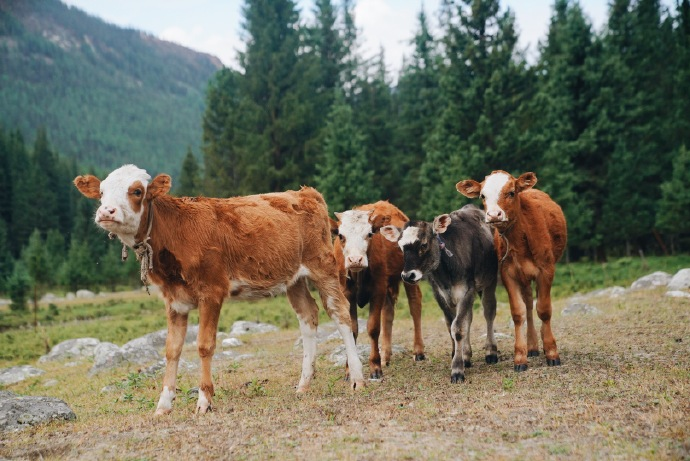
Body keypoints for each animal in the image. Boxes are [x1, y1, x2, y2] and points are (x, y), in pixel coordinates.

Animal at [74, 164, 366, 414]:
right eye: (102, 192)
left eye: (136, 191)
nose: (106, 212)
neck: (175, 231)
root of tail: (304, 192)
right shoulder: (174, 300)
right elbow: (172, 350)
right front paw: (163, 405)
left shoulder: (211, 291)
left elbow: (204, 346)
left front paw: (204, 401)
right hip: (293, 277)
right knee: (308, 316)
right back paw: (304, 384)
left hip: (322, 265)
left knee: (340, 313)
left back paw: (357, 379)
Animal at [330, 200, 422, 378]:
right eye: (341, 236)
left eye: (369, 234)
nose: (355, 260)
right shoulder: (346, 293)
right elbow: (353, 329)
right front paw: (350, 369)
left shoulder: (377, 290)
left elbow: (373, 327)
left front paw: (375, 367)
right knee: (388, 313)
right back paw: (386, 356)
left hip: (409, 275)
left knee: (415, 306)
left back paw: (418, 351)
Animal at [378, 204, 498, 380]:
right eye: (400, 247)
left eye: (423, 245)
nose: (407, 275)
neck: (446, 273)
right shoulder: (439, 294)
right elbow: (451, 327)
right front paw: (458, 357)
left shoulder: (467, 290)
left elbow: (458, 328)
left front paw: (457, 369)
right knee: (468, 318)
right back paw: (467, 355)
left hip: (490, 281)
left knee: (489, 312)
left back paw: (491, 352)